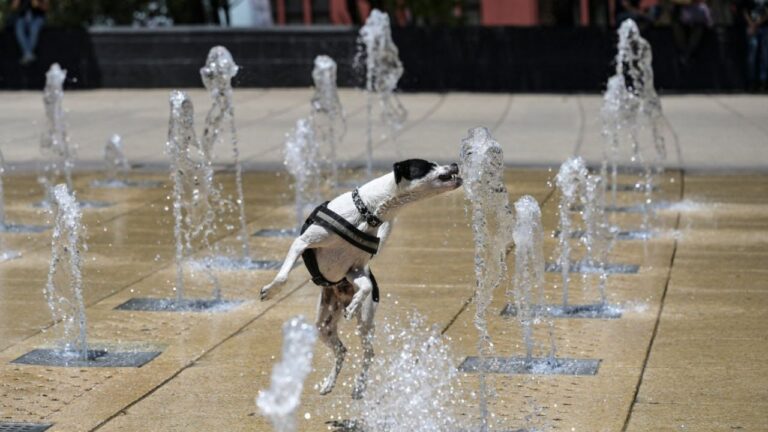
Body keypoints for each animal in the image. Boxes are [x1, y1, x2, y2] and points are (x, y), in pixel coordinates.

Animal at [260, 159, 462, 398]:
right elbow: (283, 276)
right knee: (341, 350)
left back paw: (358, 385)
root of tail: (338, 299)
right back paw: (329, 382)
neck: (367, 212)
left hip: (364, 324)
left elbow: (365, 286)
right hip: (323, 326)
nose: (455, 164)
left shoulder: (355, 269)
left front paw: (355, 303)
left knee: (367, 353)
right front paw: (271, 290)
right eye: (429, 165)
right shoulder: (303, 243)